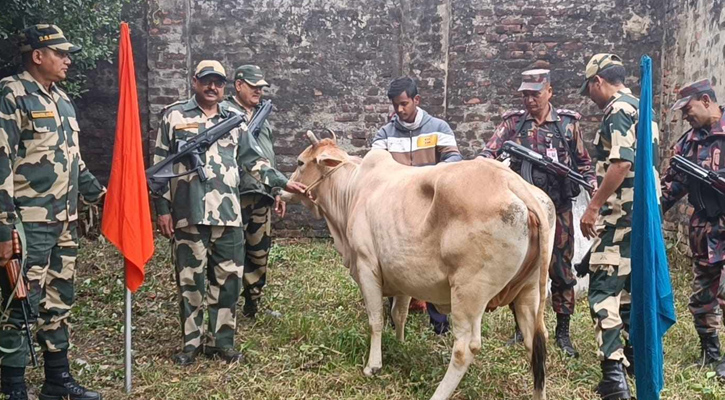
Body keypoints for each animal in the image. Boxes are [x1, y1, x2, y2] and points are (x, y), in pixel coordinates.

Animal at [282, 131, 556, 400]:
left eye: (300, 163)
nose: (285, 189)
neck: (351, 191)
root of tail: (511, 181)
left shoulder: (366, 266)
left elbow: (376, 319)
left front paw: (373, 365)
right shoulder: (402, 277)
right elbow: (399, 314)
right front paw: (400, 344)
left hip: (469, 293)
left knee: (465, 349)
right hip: (529, 291)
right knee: (535, 343)